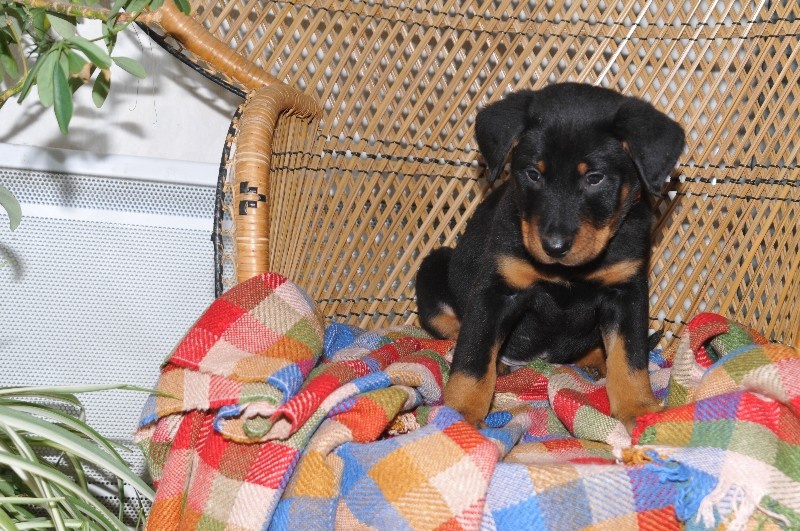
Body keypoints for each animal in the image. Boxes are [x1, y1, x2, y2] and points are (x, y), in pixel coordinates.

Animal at [416, 83, 685, 433]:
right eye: (533, 173)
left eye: (595, 178)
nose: (554, 246)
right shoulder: (496, 291)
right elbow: (473, 356)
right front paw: (460, 414)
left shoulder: (627, 292)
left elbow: (630, 358)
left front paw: (638, 408)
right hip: (433, 267)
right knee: (453, 329)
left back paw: (596, 361)